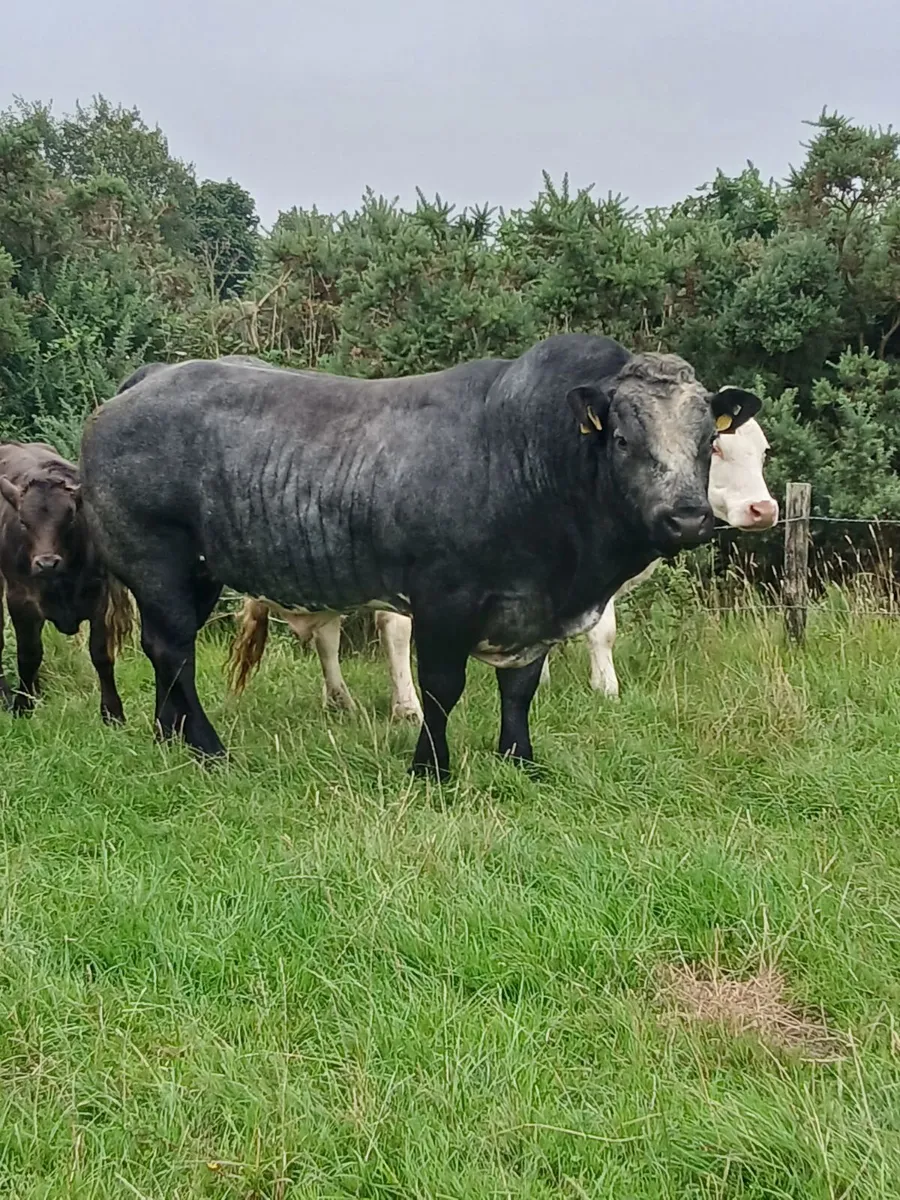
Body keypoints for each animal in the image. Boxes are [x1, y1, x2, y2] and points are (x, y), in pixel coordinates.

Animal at [0, 442, 132, 722]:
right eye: (23, 522)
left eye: (69, 519)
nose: (47, 563)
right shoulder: (20, 599)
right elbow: (28, 654)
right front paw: (22, 707)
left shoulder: (100, 597)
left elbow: (101, 654)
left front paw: (112, 712)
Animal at [225, 415, 777, 709]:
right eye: (715, 448)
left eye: (764, 451)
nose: (764, 509)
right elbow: (600, 634)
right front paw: (606, 689)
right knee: (389, 630)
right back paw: (405, 707)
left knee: (327, 638)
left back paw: (341, 701)